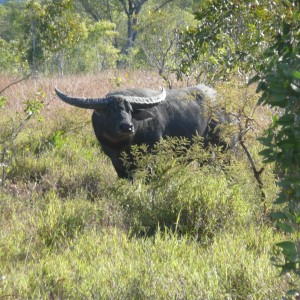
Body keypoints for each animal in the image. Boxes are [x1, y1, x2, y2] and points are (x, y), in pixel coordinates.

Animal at [55, 84, 229, 178]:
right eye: (110, 111)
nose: (127, 127)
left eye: (130, 110)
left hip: (226, 147)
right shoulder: (117, 164)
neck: (123, 146)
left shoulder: (151, 159)